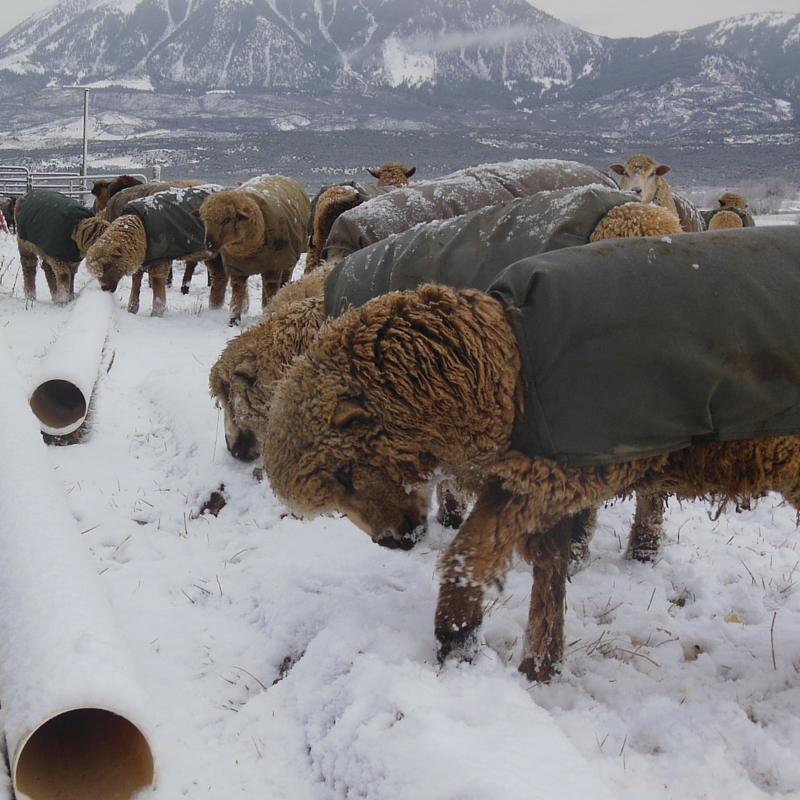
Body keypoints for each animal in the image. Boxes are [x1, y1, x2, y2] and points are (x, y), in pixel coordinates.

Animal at [85, 184, 227, 316]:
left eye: (107, 265)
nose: (105, 288)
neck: (140, 228)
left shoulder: (161, 258)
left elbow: (157, 280)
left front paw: (157, 313)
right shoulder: (141, 257)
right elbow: (136, 281)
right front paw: (132, 309)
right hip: (212, 254)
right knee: (220, 275)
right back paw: (215, 306)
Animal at [194, 175, 312, 324]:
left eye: (227, 220)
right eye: (205, 220)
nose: (209, 246)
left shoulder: (274, 266)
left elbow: (271, 290)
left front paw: (269, 314)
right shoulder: (237, 268)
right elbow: (238, 293)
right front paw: (233, 321)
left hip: (288, 259)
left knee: (284, 279)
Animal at [266, 223, 800, 680]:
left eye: (347, 470)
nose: (391, 542)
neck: (507, 365)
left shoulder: (561, 472)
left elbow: (471, 553)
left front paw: (457, 637)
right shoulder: (541, 467)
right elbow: (546, 564)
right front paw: (540, 665)